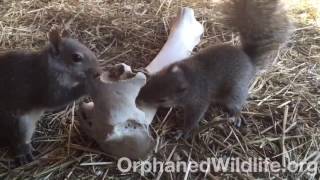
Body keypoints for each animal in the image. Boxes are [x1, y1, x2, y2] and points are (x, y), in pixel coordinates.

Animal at [0, 26, 100, 165]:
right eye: (76, 57)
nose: (97, 71)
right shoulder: (46, 83)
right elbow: (56, 99)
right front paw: (88, 84)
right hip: (17, 123)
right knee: (17, 139)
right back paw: (24, 151)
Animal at [136, 0, 292, 136]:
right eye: (150, 83)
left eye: (162, 100)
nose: (138, 99)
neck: (187, 75)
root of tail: (249, 60)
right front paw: (144, 72)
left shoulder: (199, 100)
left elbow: (194, 117)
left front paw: (183, 131)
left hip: (234, 92)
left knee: (236, 104)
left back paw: (236, 116)